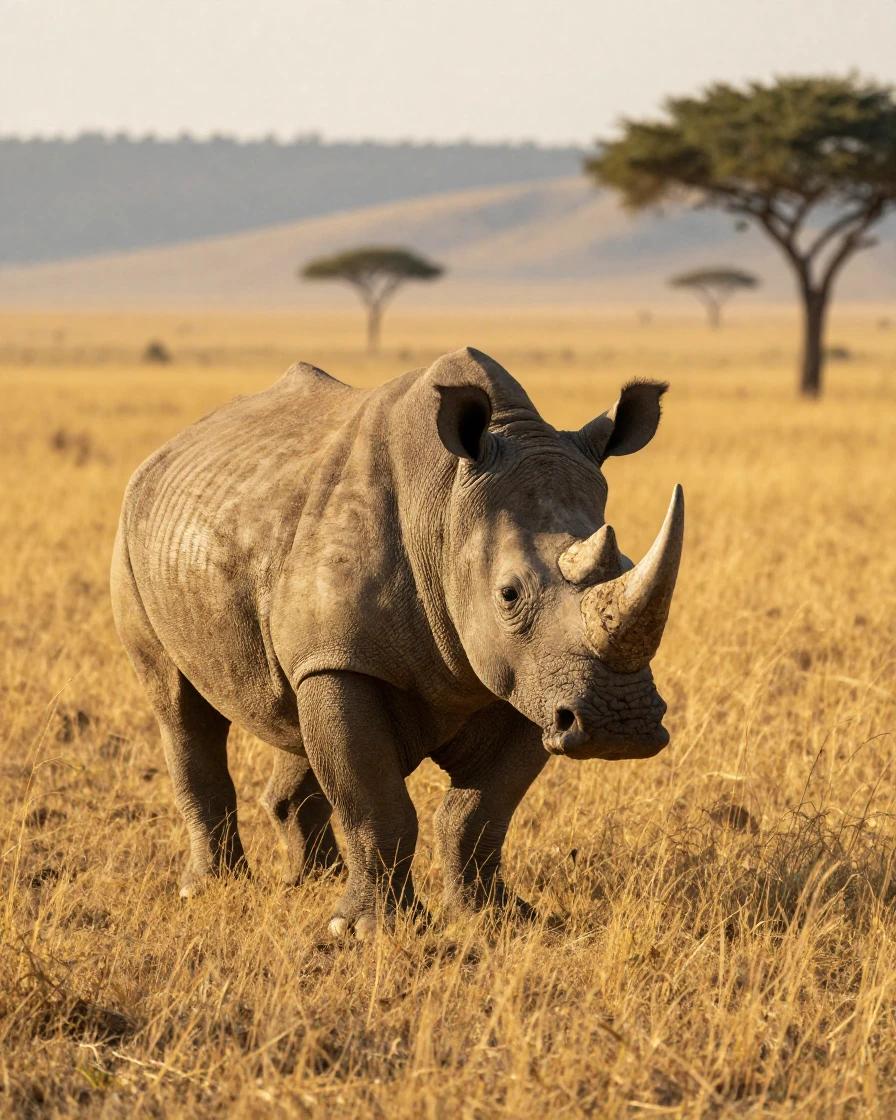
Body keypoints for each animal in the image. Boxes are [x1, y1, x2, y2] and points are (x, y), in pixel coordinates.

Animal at [111, 347, 684, 937]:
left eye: (628, 564)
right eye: (508, 594)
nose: (620, 726)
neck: (447, 510)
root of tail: (167, 450)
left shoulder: (535, 678)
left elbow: (480, 813)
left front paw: (498, 918)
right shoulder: (348, 660)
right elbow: (375, 801)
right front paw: (368, 932)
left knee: (296, 713)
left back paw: (312, 881)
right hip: (131, 537)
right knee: (179, 707)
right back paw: (208, 889)